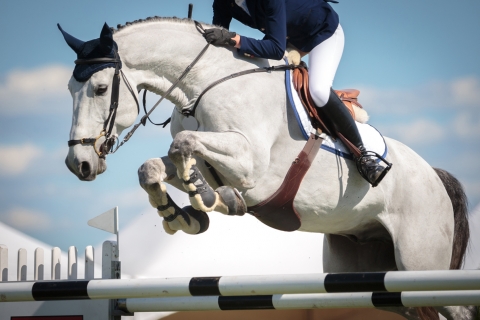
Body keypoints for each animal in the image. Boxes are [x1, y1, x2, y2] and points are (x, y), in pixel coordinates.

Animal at [59, 18, 472, 320]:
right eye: (68, 91)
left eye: (99, 89)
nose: (79, 164)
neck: (203, 84)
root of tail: (435, 176)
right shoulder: (209, 157)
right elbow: (154, 167)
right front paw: (184, 214)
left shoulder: (250, 164)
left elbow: (184, 145)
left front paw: (212, 198)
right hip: (369, 272)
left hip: (420, 263)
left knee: (458, 306)